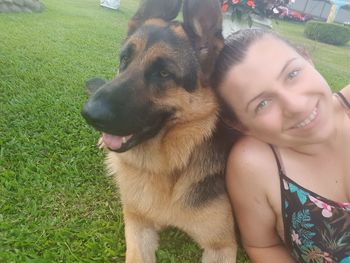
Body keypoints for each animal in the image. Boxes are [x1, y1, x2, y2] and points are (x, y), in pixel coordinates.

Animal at [82, 0, 241, 262]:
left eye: (164, 73)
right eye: (124, 59)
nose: (89, 114)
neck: (168, 166)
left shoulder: (222, 246)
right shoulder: (138, 222)